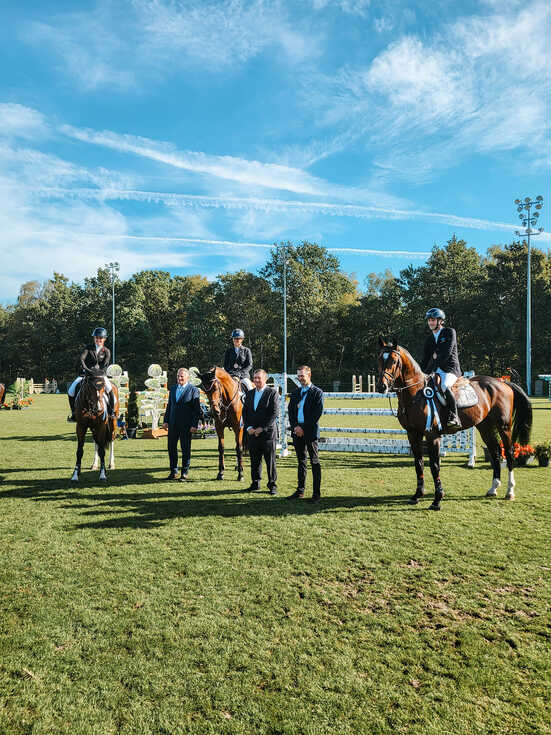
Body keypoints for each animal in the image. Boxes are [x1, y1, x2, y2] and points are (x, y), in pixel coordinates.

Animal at [378, 336, 532, 508]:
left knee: (509, 452)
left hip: (503, 426)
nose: (381, 387)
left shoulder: (432, 436)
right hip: (485, 426)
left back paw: (509, 491)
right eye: (379, 359)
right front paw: (417, 495)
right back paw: (493, 488)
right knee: (495, 451)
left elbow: (434, 466)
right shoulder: (413, 434)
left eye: (393, 361)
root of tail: (503, 383)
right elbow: (419, 464)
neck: (415, 393)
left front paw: (437, 499)